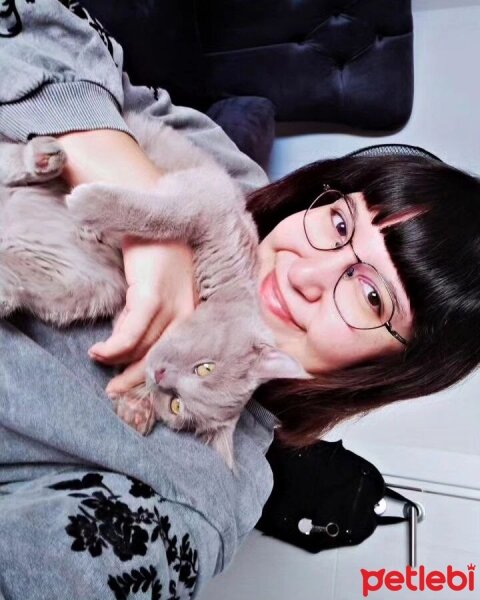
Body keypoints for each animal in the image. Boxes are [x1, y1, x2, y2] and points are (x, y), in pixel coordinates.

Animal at [0, 112, 308, 468]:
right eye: (206, 367)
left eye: (176, 404)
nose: (161, 376)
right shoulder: (204, 196)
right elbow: (161, 216)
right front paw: (90, 204)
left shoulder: (100, 289)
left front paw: (137, 407)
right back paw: (42, 158)